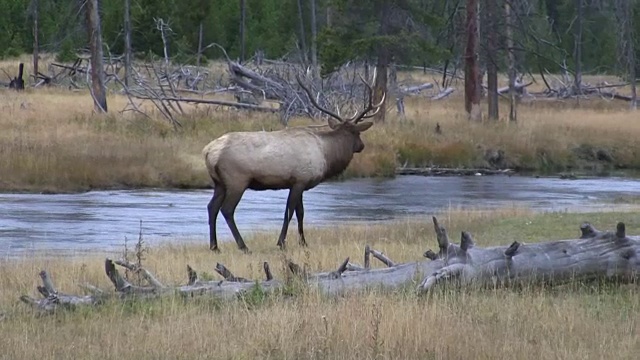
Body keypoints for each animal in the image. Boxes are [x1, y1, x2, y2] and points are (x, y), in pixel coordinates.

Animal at [202, 71, 384, 253]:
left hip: (219, 182)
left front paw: (303, 242)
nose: (361, 146)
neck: (326, 154)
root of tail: (208, 151)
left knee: (212, 207)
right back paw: (243, 246)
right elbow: (289, 212)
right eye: (357, 133)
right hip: (237, 180)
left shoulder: (299, 183)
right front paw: (281, 242)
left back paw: (214, 246)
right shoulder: (299, 181)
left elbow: (300, 213)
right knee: (227, 209)